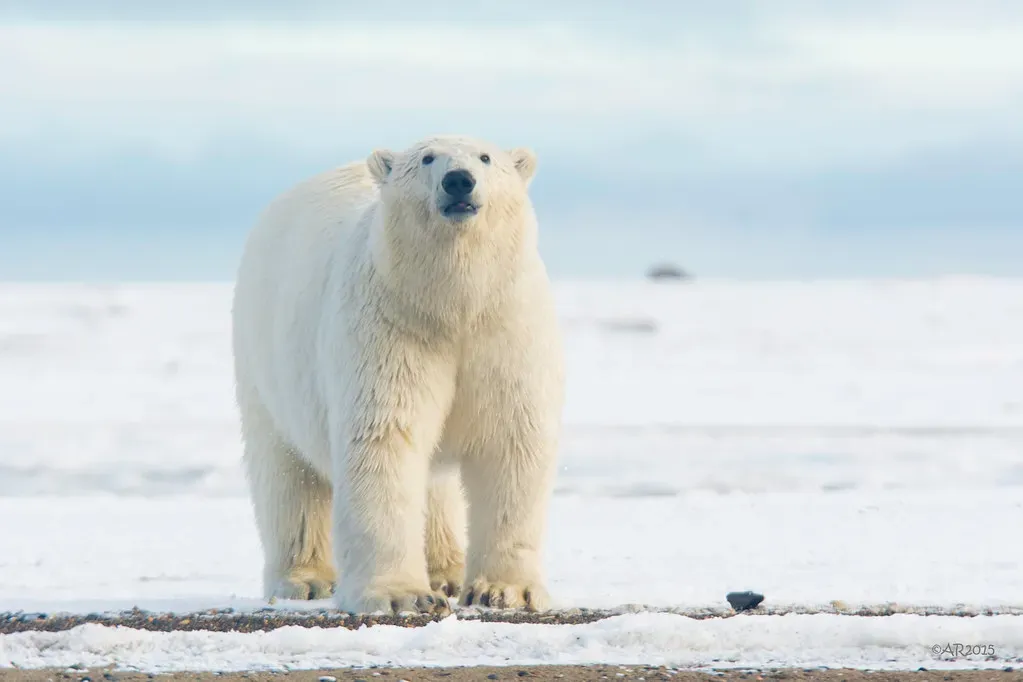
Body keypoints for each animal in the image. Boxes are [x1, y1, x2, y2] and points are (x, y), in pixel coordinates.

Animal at [230, 135, 565, 616]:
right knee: (287, 473)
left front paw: (503, 591)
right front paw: (401, 595)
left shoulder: (506, 328)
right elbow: (385, 437)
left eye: (485, 157)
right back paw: (305, 579)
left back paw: (446, 570)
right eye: (427, 158)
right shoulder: (391, 325)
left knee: (435, 485)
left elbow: (512, 439)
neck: (452, 304)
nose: (458, 180)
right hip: (264, 360)